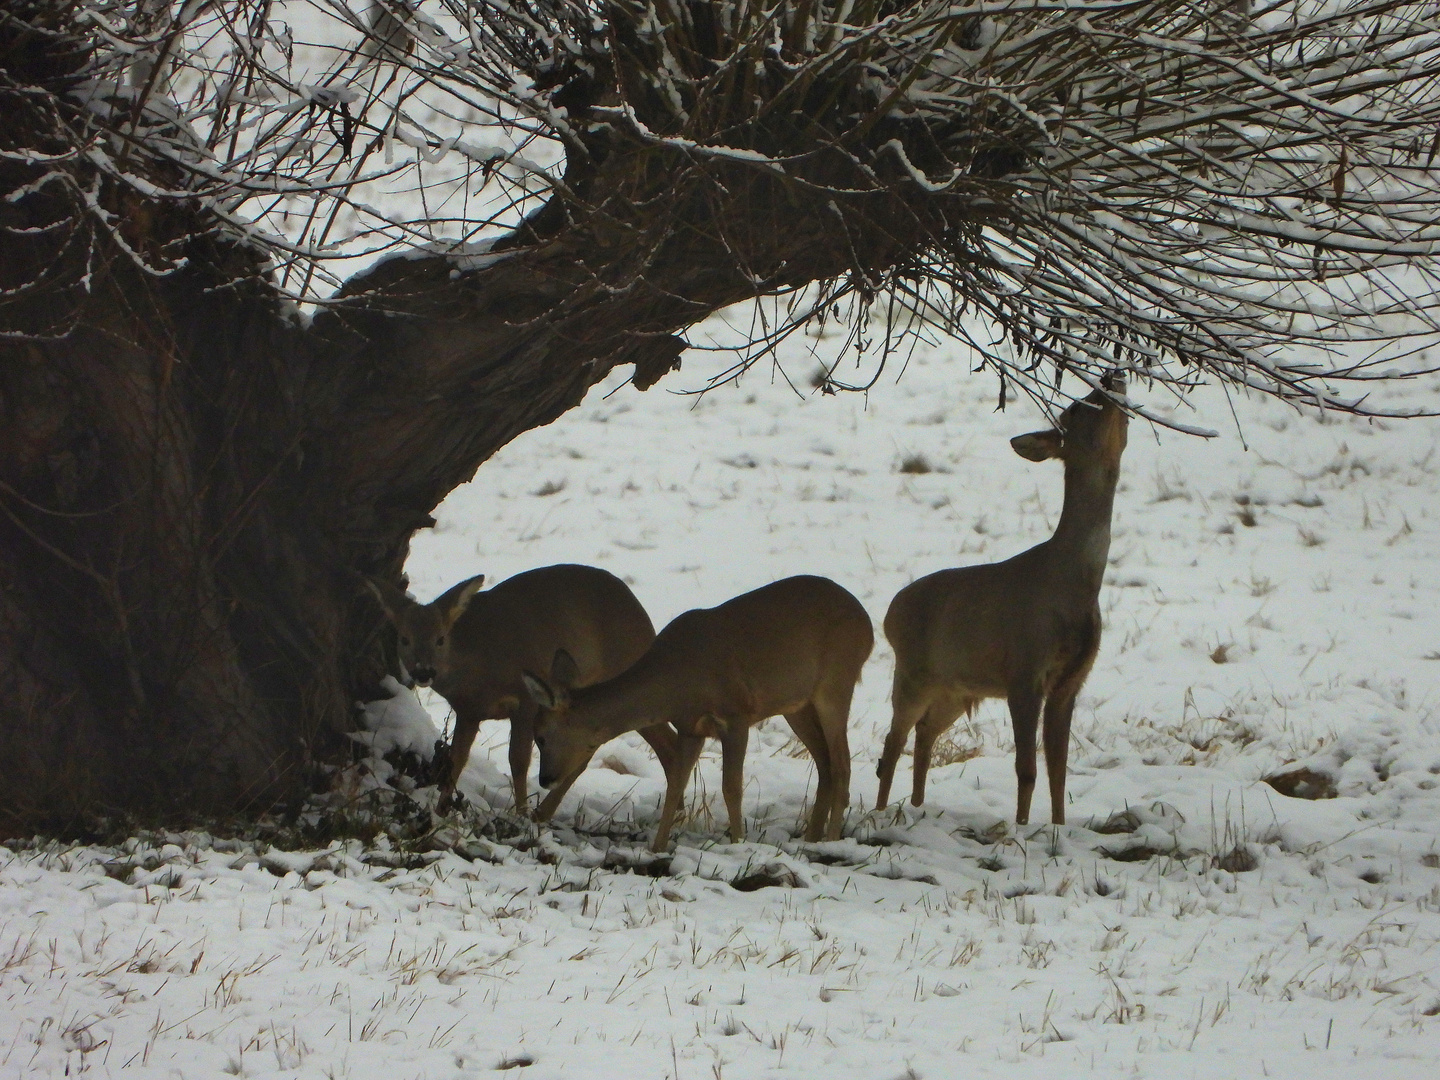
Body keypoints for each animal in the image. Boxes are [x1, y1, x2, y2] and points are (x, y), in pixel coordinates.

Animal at [362, 561, 671, 817]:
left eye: (440, 639)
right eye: (404, 639)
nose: (423, 672)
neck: (478, 664)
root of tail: (645, 620)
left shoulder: (527, 700)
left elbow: (518, 761)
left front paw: (520, 814)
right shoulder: (468, 711)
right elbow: (456, 760)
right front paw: (439, 810)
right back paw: (544, 814)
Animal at [524, 576, 869, 852]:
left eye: (540, 736)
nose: (545, 778)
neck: (677, 683)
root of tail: (866, 624)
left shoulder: (736, 714)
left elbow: (732, 787)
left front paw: (738, 844)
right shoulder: (691, 727)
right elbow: (676, 783)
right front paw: (657, 848)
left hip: (836, 682)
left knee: (842, 764)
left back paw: (831, 841)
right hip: (796, 705)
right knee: (825, 763)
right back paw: (811, 840)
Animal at [869, 374, 1128, 829]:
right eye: (1078, 407)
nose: (1111, 377)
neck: (1073, 587)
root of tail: (889, 613)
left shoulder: (1071, 680)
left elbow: (1058, 768)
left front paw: (1059, 826)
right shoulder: (1025, 669)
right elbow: (1027, 767)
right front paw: (1022, 827)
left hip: (955, 687)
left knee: (925, 733)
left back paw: (918, 806)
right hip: (912, 671)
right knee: (893, 741)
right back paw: (884, 811)